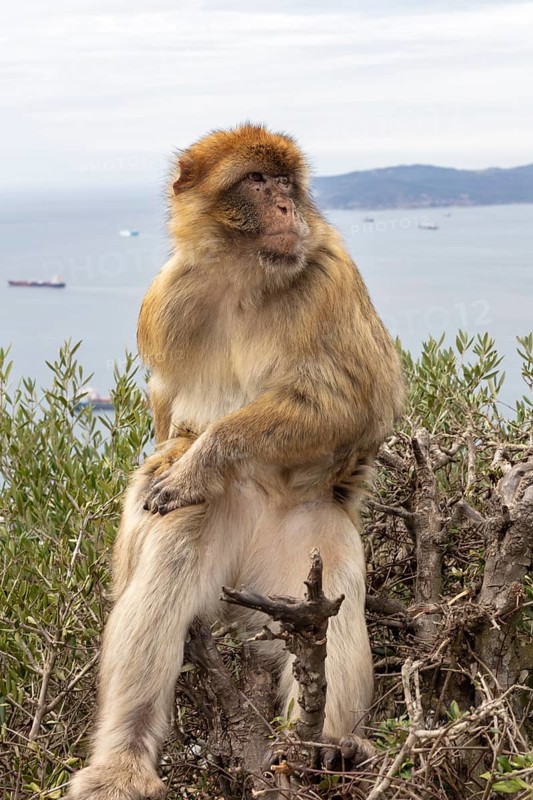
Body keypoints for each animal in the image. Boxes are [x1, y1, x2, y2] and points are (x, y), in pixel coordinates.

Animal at [67, 123, 404, 800]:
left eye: (286, 182)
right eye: (256, 181)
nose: (286, 207)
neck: (247, 278)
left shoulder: (330, 276)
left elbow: (355, 400)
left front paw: (202, 459)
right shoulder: (166, 300)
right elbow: (170, 421)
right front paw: (181, 461)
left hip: (305, 555)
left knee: (337, 606)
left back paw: (332, 745)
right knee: (169, 556)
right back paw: (122, 761)